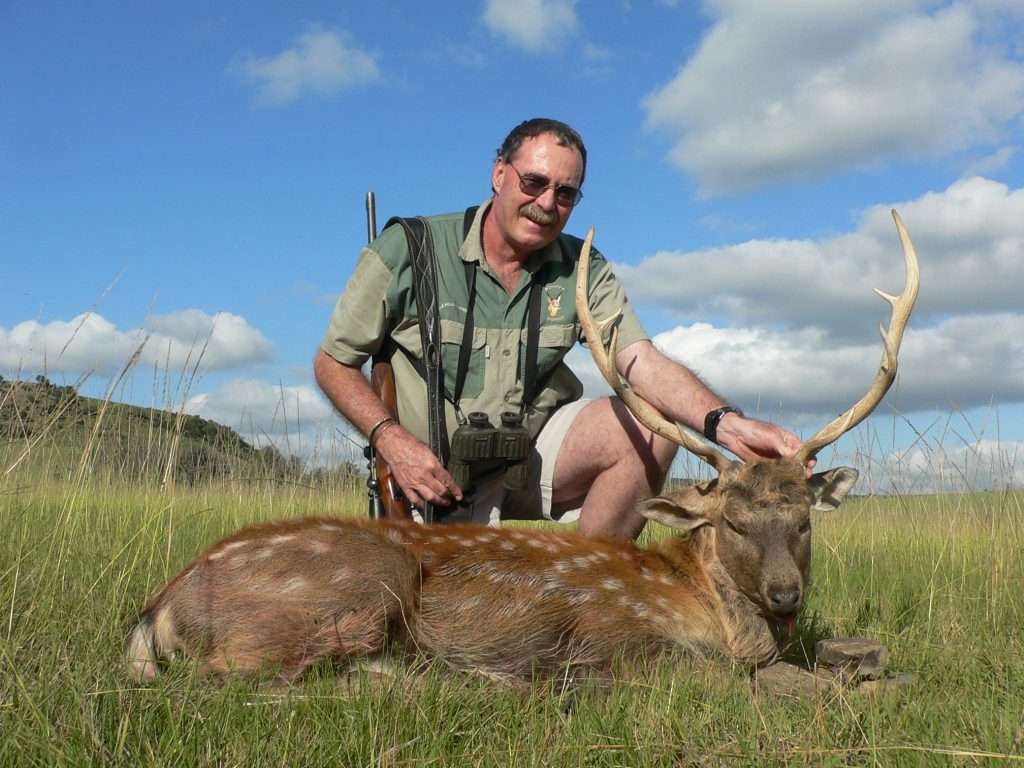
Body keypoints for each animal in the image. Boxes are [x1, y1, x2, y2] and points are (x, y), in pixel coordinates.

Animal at [125, 211, 919, 686]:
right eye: (733, 522)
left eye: (804, 520)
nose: (787, 595)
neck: (714, 613)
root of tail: (156, 608)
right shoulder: (622, 643)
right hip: (356, 587)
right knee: (231, 682)